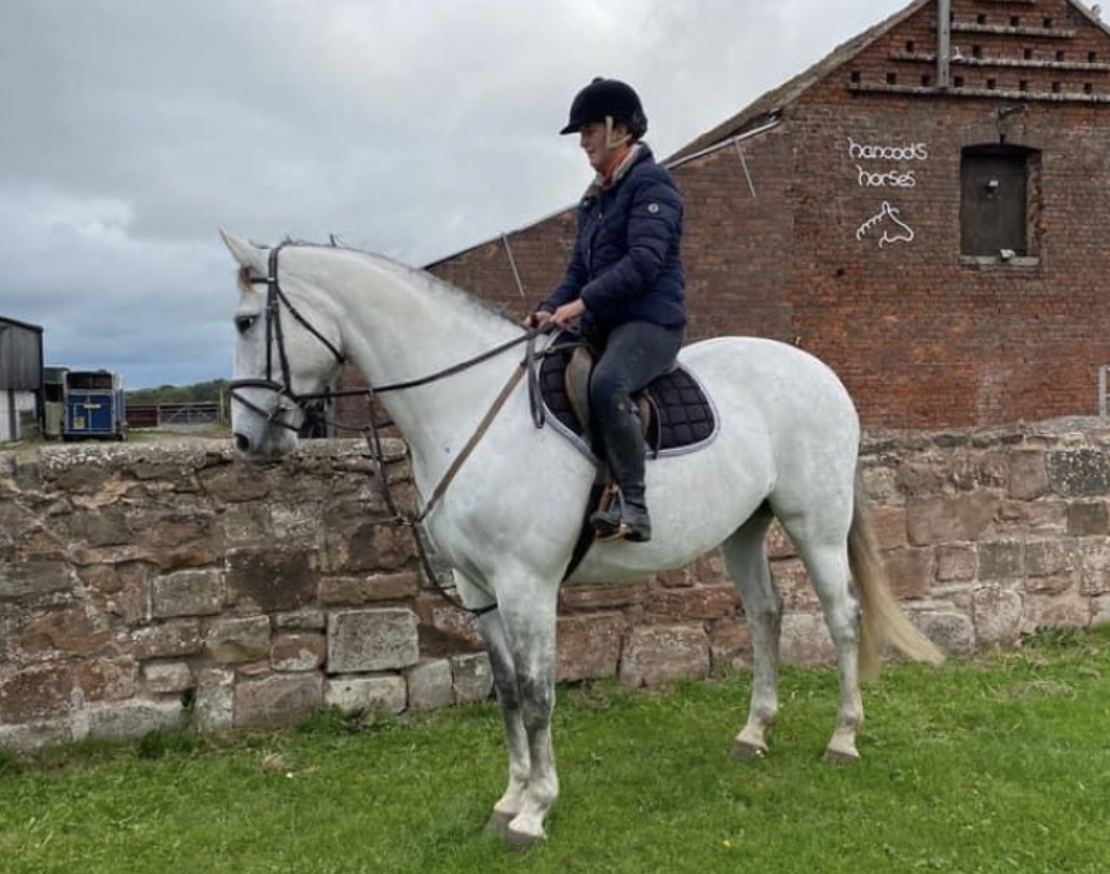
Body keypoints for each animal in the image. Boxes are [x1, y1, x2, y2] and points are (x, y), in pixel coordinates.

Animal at [220, 231, 943, 847]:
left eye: (245, 322)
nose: (247, 439)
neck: (468, 405)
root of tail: (822, 374)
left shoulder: (526, 585)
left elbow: (539, 693)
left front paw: (535, 811)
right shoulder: (477, 587)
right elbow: (508, 691)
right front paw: (510, 799)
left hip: (816, 523)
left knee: (843, 619)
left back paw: (843, 739)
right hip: (744, 528)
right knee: (767, 613)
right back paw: (753, 733)